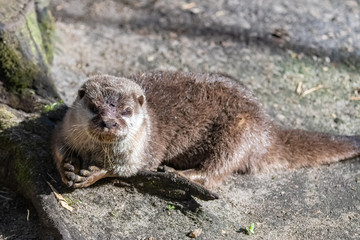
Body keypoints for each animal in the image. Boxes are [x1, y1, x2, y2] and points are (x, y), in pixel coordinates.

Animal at [52, 72, 360, 188]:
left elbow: (127, 168)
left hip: (240, 132)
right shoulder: (64, 127)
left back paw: (180, 173)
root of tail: (267, 127)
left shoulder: (144, 149)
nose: (109, 122)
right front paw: (68, 166)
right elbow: (55, 146)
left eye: (126, 111)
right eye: (94, 107)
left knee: (219, 169)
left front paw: (93, 173)